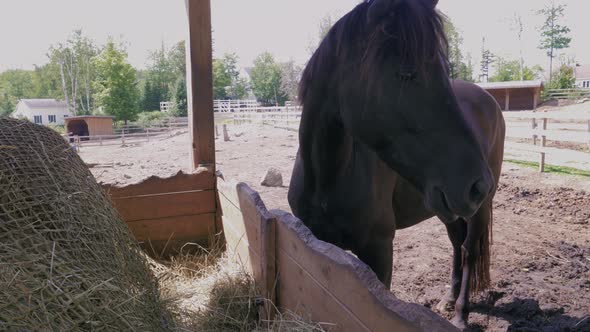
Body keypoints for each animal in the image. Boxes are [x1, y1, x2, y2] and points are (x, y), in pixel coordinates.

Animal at [290, 0, 506, 330]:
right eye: (406, 72)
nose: (478, 184)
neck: (327, 178)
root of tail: (489, 100)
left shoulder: (379, 252)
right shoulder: (317, 243)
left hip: (477, 209)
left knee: (469, 249)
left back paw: (460, 313)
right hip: (445, 206)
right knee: (456, 242)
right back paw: (447, 299)